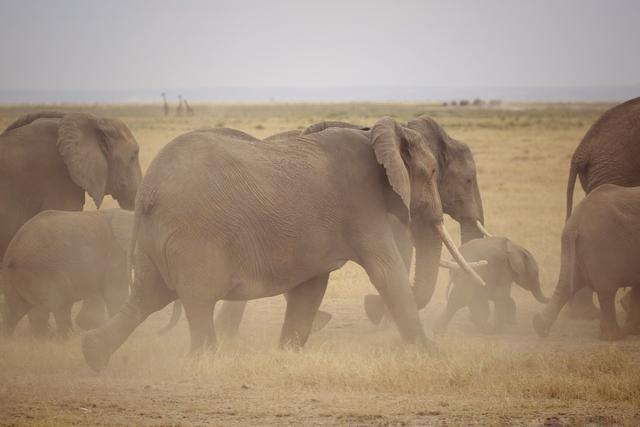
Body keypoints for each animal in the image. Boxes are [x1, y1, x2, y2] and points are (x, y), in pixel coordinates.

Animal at [0, 210, 132, 338]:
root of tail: (12, 253)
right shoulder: (116, 254)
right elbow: (115, 295)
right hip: (43, 273)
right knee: (57, 306)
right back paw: (63, 338)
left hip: (15, 276)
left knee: (16, 309)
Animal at [80, 118, 482, 372]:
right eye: (432, 174)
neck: (376, 133)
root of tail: (148, 191)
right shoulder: (363, 204)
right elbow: (386, 271)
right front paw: (432, 353)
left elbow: (312, 286)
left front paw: (288, 353)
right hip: (193, 235)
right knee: (195, 298)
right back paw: (206, 361)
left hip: (160, 237)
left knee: (147, 298)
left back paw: (93, 355)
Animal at [532, 184, 640, 342]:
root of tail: (577, 221)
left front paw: (634, 330)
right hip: (602, 245)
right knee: (606, 291)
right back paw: (614, 336)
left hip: (573, 246)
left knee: (565, 285)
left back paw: (539, 326)